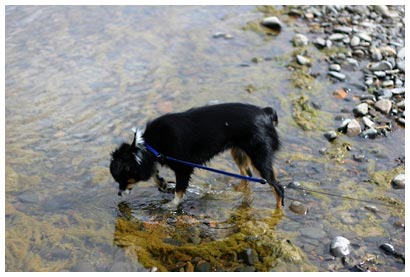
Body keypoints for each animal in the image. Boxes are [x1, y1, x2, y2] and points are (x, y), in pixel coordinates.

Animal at [109, 102, 284, 208]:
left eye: (123, 180)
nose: (118, 194)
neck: (150, 145)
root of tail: (266, 113)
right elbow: (155, 174)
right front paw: (162, 184)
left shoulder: (183, 168)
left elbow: (179, 190)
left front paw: (171, 205)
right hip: (239, 152)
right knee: (247, 175)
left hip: (259, 157)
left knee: (278, 187)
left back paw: (278, 212)